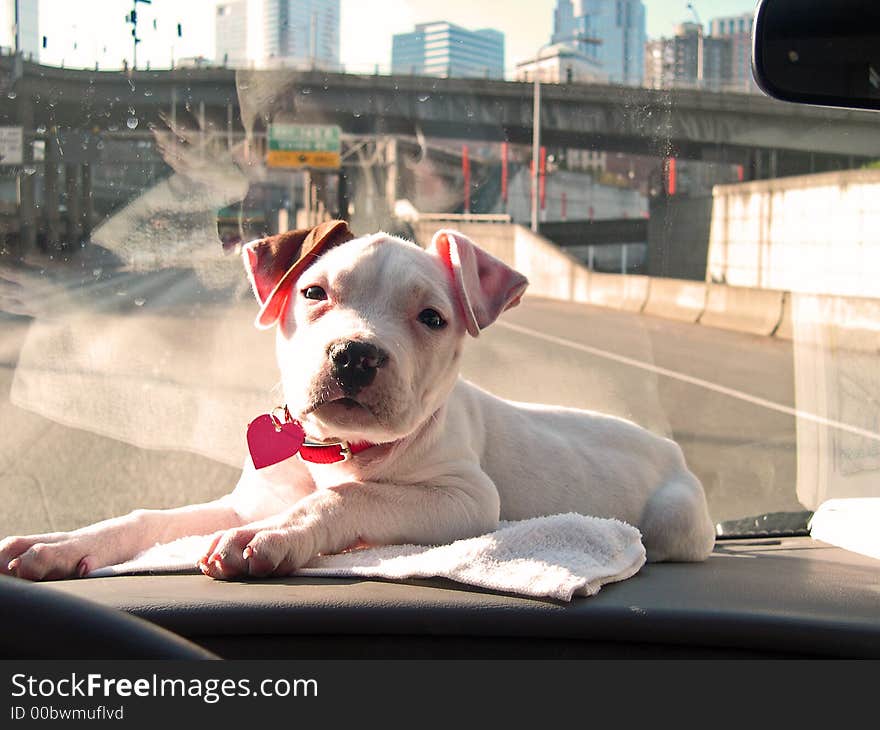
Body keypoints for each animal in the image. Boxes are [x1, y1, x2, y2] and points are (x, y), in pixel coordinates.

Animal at [0, 219, 716, 576]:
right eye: (314, 293)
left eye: (432, 318)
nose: (356, 355)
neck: (333, 451)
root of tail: (671, 447)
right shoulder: (248, 499)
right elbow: (146, 519)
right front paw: (60, 545)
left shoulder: (466, 499)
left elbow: (351, 497)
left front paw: (274, 538)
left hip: (675, 519)